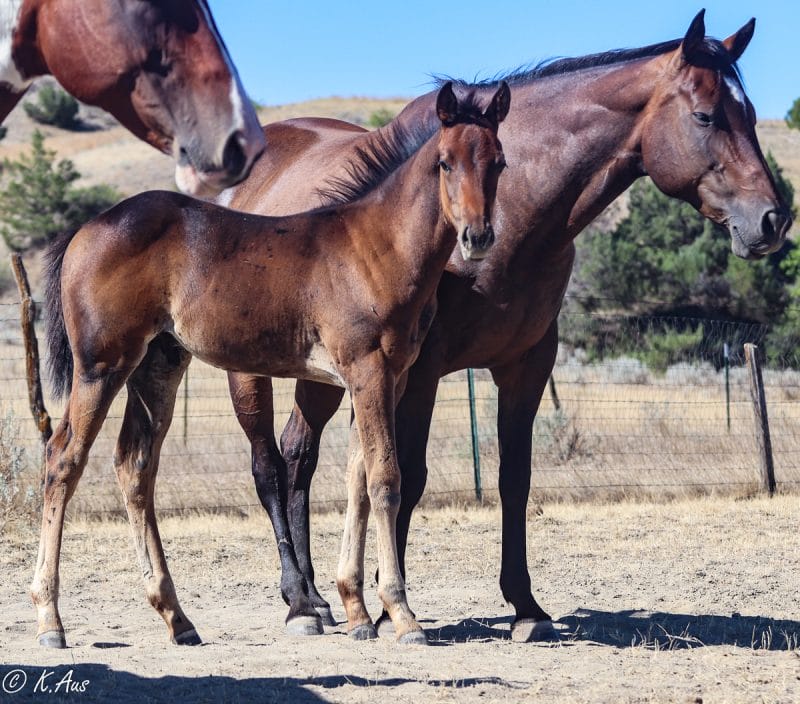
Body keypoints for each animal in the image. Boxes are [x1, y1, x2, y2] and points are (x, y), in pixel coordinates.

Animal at [34, 80, 510, 648]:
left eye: (499, 162)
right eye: (444, 162)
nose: (478, 237)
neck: (376, 247)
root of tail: (87, 228)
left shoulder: (384, 378)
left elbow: (357, 478)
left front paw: (356, 610)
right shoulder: (368, 371)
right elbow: (384, 480)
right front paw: (401, 614)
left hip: (158, 366)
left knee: (134, 465)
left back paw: (177, 617)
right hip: (101, 365)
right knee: (62, 460)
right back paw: (51, 620)